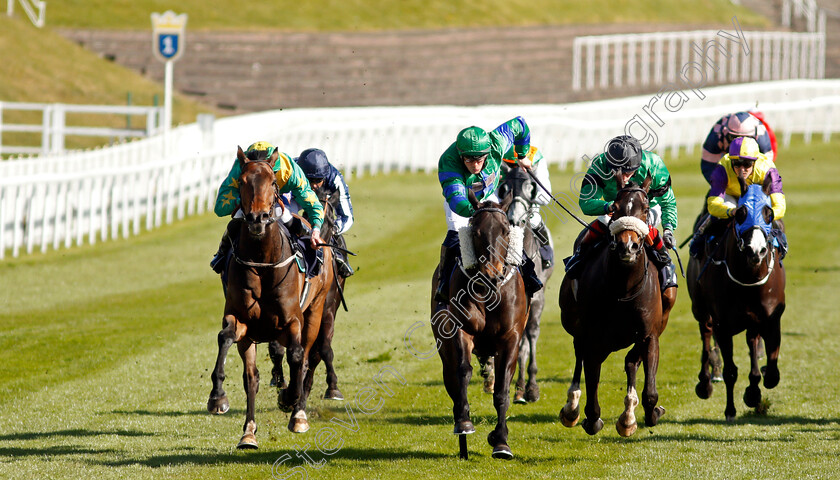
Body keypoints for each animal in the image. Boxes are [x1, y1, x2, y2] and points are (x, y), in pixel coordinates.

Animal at [205, 147, 334, 450]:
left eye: (273, 182)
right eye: (242, 182)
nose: (257, 219)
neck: (263, 262)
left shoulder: (293, 320)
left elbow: (297, 356)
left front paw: (293, 405)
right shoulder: (241, 320)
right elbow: (225, 338)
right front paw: (218, 397)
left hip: (317, 309)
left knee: (306, 357)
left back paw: (297, 408)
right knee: (251, 378)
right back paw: (249, 432)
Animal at [270, 188, 346, 402]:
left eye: (332, 220)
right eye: (304, 213)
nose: (316, 244)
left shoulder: (327, 309)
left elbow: (322, 349)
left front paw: (331, 387)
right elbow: (278, 348)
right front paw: (281, 380)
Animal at [430, 190, 528, 458]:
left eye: (506, 230)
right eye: (476, 231)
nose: (491, 273)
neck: (488, 291)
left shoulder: (510, 338)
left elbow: (502, 390)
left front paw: (500, 440)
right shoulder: (461, 329)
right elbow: (463, 372)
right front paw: (464, 423)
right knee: (452, 382)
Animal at [556, 175, 676, 436]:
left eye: (645, 209)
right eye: (616, 208)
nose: (627, 246)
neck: (624, 289)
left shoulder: (650, 334)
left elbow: (650, 391)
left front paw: (647, 414)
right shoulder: (593, 336)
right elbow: (591, 385)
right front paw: (589, 417)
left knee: (630, 360)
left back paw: (628, 415)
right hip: (575, 323)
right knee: (579, 354)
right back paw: (572, 407)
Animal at [684, 176, 784, 420]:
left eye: (768, 212)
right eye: (740, 213)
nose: (755, 251)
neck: (748, 279)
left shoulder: (769, 317)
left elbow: (771, 373)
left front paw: (754, 391)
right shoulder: (723, 324)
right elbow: (730, 371)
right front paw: (730, 409)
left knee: (751, 342)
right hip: (700, 309)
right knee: (706, 336)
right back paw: (706, 382)